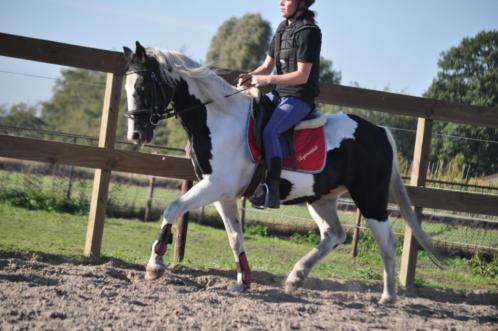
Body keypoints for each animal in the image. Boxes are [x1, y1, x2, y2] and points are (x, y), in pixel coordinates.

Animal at [122, 40, 442, 304]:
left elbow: (173, 208)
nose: (135, 134)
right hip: (321, 198)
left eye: (143, 87)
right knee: (334, 234)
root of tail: (378, 131)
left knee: (386, 242)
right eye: (127, 89)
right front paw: (242, 283)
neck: (218, 119)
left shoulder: (214, 187)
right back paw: (296, 277)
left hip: (370, 198)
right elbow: (234, 236)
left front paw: (154, 265)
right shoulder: (223, 195)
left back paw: (388, 297)